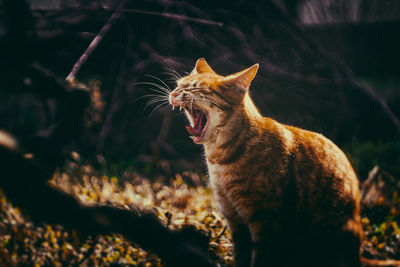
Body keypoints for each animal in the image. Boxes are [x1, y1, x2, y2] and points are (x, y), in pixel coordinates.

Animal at [167, 58, 398, 267]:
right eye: (178, 84)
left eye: (195, 88)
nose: (173, 93)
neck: (219, 159)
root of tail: (358, 255)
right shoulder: (234, 220)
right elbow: (240, 257)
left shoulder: (265, 221)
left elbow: (260, 259)